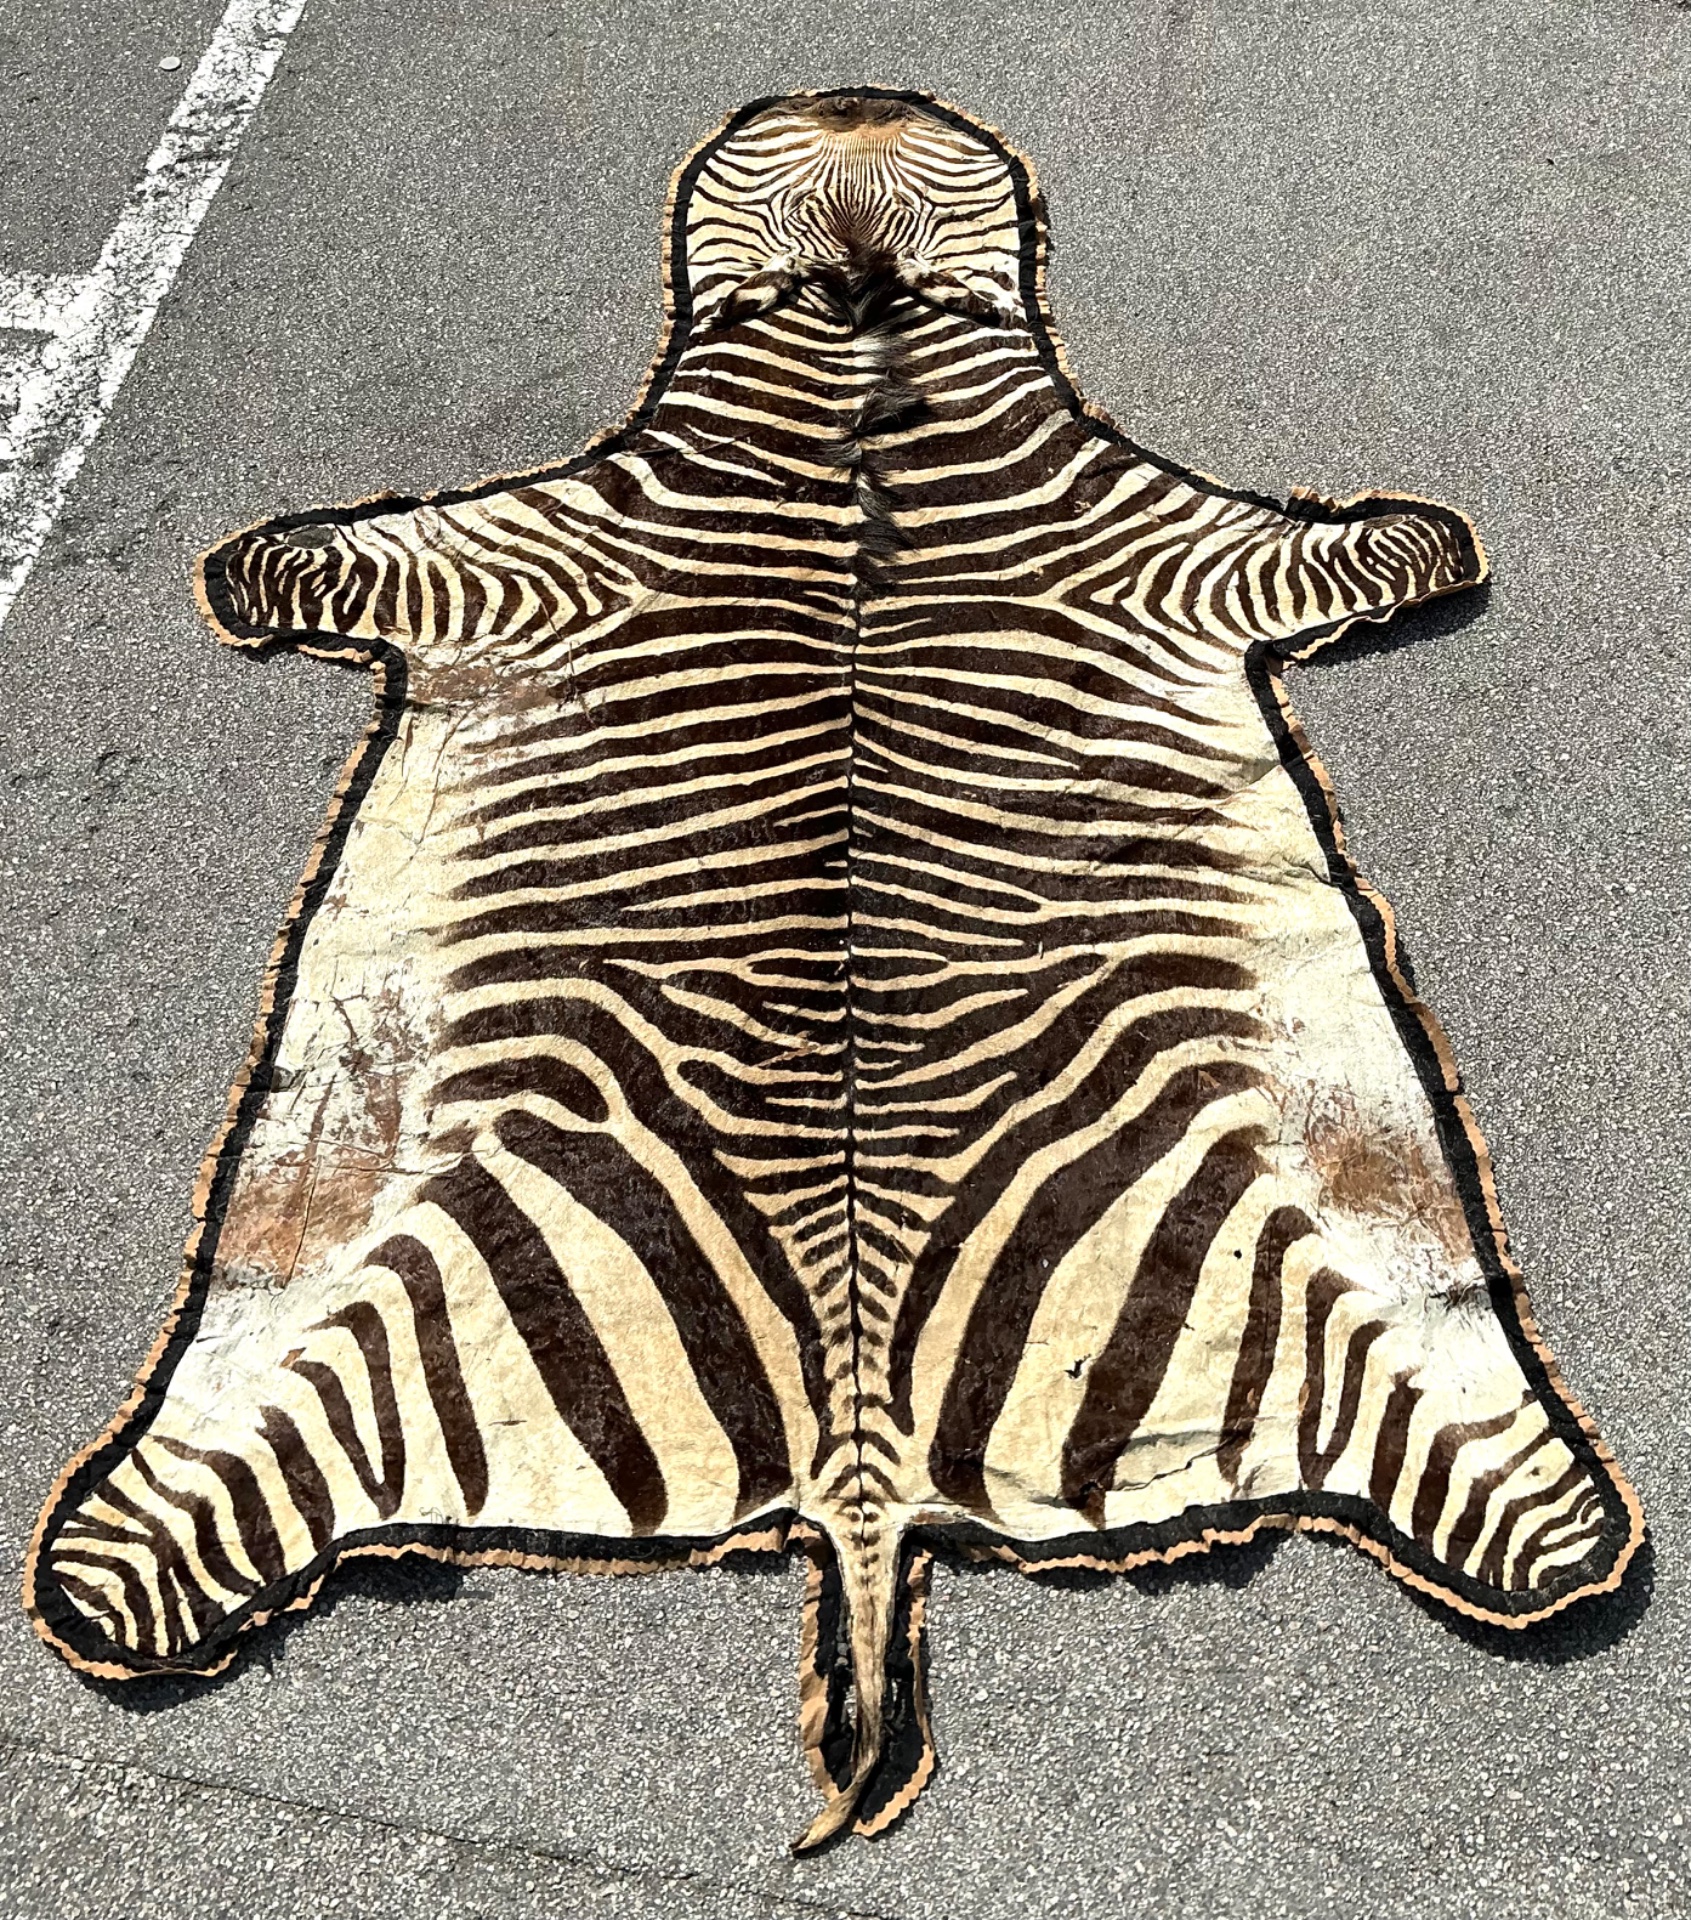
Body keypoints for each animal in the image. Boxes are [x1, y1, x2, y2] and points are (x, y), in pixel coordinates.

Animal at [26, 89, 1642, 1849]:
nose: (852, 100)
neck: (854, 336)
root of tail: (862, 1485)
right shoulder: (521, 545)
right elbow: (322, 555)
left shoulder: (1171, 541)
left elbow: (1365, 547)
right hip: (384, 1271)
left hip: (1303, 1251)